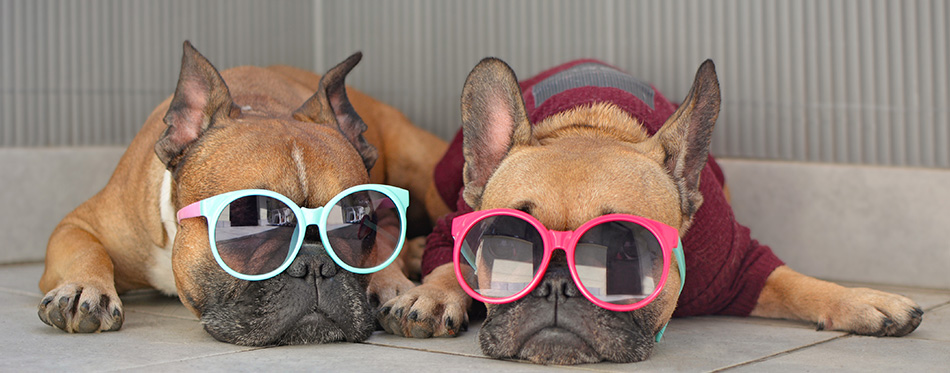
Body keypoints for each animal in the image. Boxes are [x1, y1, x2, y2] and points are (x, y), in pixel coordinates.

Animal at [378, 58, 924, 364]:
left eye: (627, 253)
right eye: (508, 245)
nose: (557, 285)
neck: (592, 127)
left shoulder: (736, 265)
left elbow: (794, 283)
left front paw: (864, 301)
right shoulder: (456, 227)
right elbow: (450, 262)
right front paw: (431, 295)